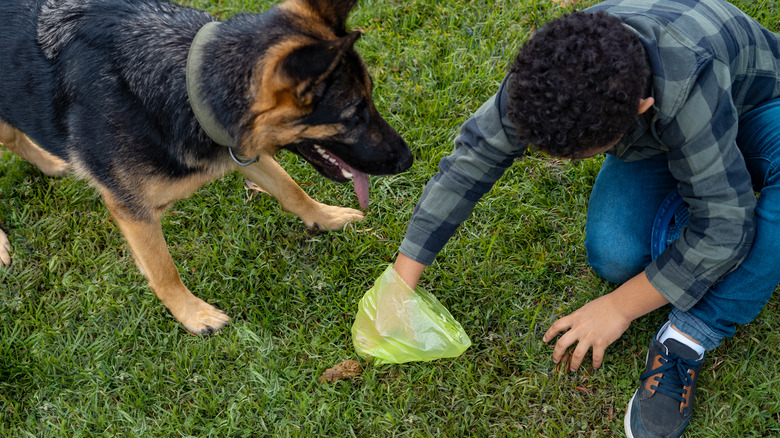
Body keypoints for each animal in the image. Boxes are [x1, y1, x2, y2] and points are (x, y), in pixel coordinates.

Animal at [0, 0, 414, 334]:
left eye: (370, 98)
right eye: (354, 115)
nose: (409, 160)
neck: (186, 85)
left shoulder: (239, 152)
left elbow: (291, 190)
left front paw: (325, 217)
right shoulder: (132, 211)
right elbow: (164, 271)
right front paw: (193, 315)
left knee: (14, 139)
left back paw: (53, 164)